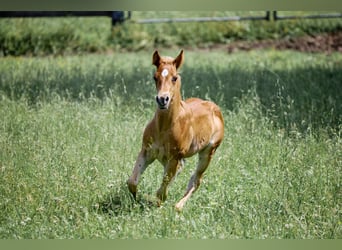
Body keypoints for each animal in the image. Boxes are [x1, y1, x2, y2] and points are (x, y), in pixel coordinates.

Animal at [126, 49, 224, 210]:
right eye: (155, 77)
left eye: (174, 78)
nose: (162, 99)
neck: (163, 128)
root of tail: (215, 107)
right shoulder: (147, 151)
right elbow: (132, 182)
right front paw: (135, 200)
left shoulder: (174, 157)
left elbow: (161, 192)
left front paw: (155, 206)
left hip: (208, 152)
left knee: (196, 180)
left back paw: (178, 207)